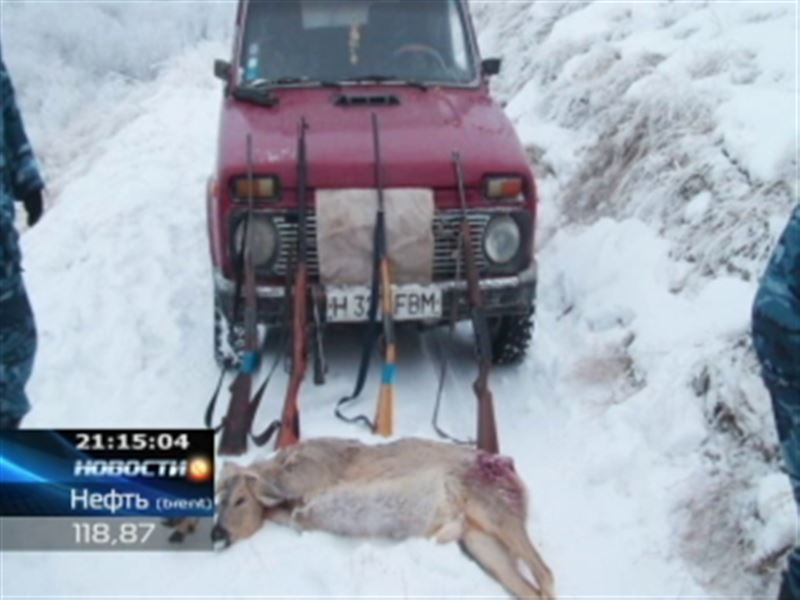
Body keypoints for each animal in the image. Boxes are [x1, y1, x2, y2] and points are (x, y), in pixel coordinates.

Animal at [196, 436, 552, 600]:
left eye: (239, 501)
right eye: (217, 504)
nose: (217, 534)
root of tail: (511, 470)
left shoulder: (309, 470)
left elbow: (261, 477)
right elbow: (296, 515)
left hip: (494, 506)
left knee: (546, 574)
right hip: (482, 542)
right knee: (528, 588)